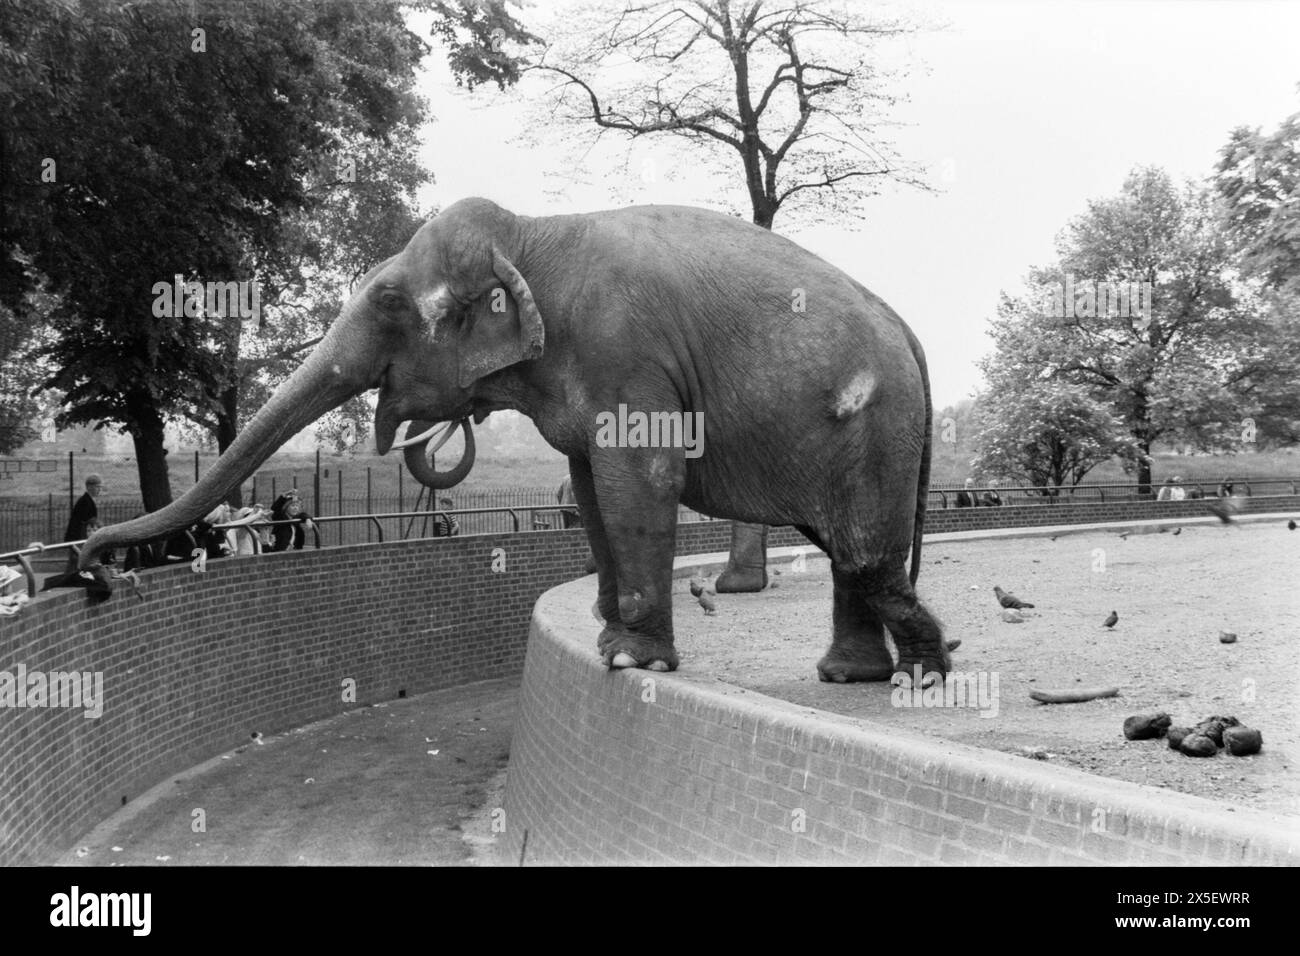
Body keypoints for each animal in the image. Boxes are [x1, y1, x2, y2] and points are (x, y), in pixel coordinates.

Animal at [83, 197, 947, 682]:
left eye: (389, 301)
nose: (95, 565)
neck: (530, 236)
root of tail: (911, 333)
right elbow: (592, 487)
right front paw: (609, 641)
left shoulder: (625, 352)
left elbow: (640, 478)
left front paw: (629, 661)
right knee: (850, 555)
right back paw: (853, 677)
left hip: (874, 429)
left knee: (864, 552)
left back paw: (928, 671)